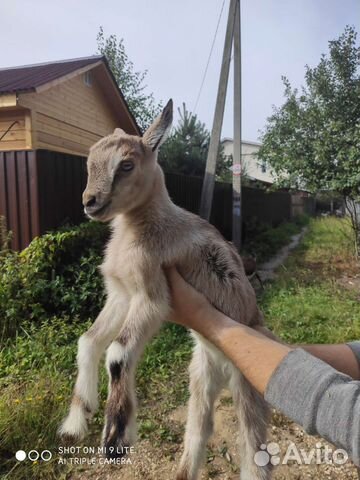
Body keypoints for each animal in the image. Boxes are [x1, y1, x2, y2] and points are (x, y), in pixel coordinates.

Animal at [59, 100, 270, 480]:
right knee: (200, 428)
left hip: (249, 382)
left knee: (253, 447)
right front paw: (76, 421)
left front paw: (116, 439)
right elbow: (89, 341)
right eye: (89, 162)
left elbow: (117, 353)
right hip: (200, 374)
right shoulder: (121, 294)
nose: (90, 202)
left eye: (126, 165)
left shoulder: (152, 296)